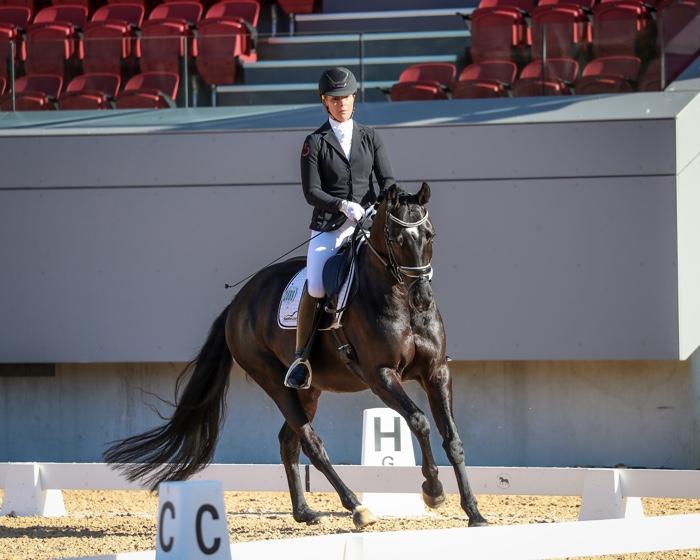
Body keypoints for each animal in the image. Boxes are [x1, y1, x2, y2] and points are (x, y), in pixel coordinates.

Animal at [104, 182, 488, 529]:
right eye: (395, 239)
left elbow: (453, 439)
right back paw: (356, 508)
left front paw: (474, 513)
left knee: (288, 441)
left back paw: (304, 512)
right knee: (310, 442)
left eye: (430, 235)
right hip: (274, 381)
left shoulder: (436, 373)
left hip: (309, 389)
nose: (423, 298)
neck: (399, 302)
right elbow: (419, 421)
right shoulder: (381, 375)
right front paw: (433, 491)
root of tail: (237, 304)